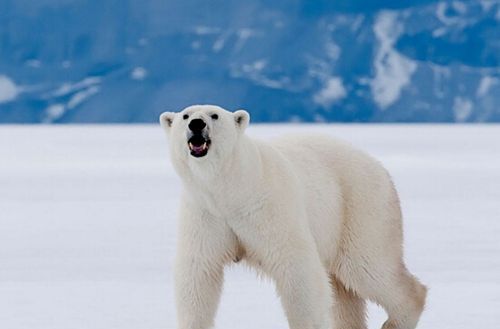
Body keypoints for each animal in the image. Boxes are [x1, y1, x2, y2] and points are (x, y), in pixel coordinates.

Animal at [160, 104, 426, 328]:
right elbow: (199, 272)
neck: (231, 189)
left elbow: (297, 268)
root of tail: (376, 164)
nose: (196, 124)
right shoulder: (205, 213)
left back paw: (397, 320)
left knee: (368, 267)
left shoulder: (268, 207)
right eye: (185, 115)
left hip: (359, 207)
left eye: (214, 115)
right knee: (344, 291)